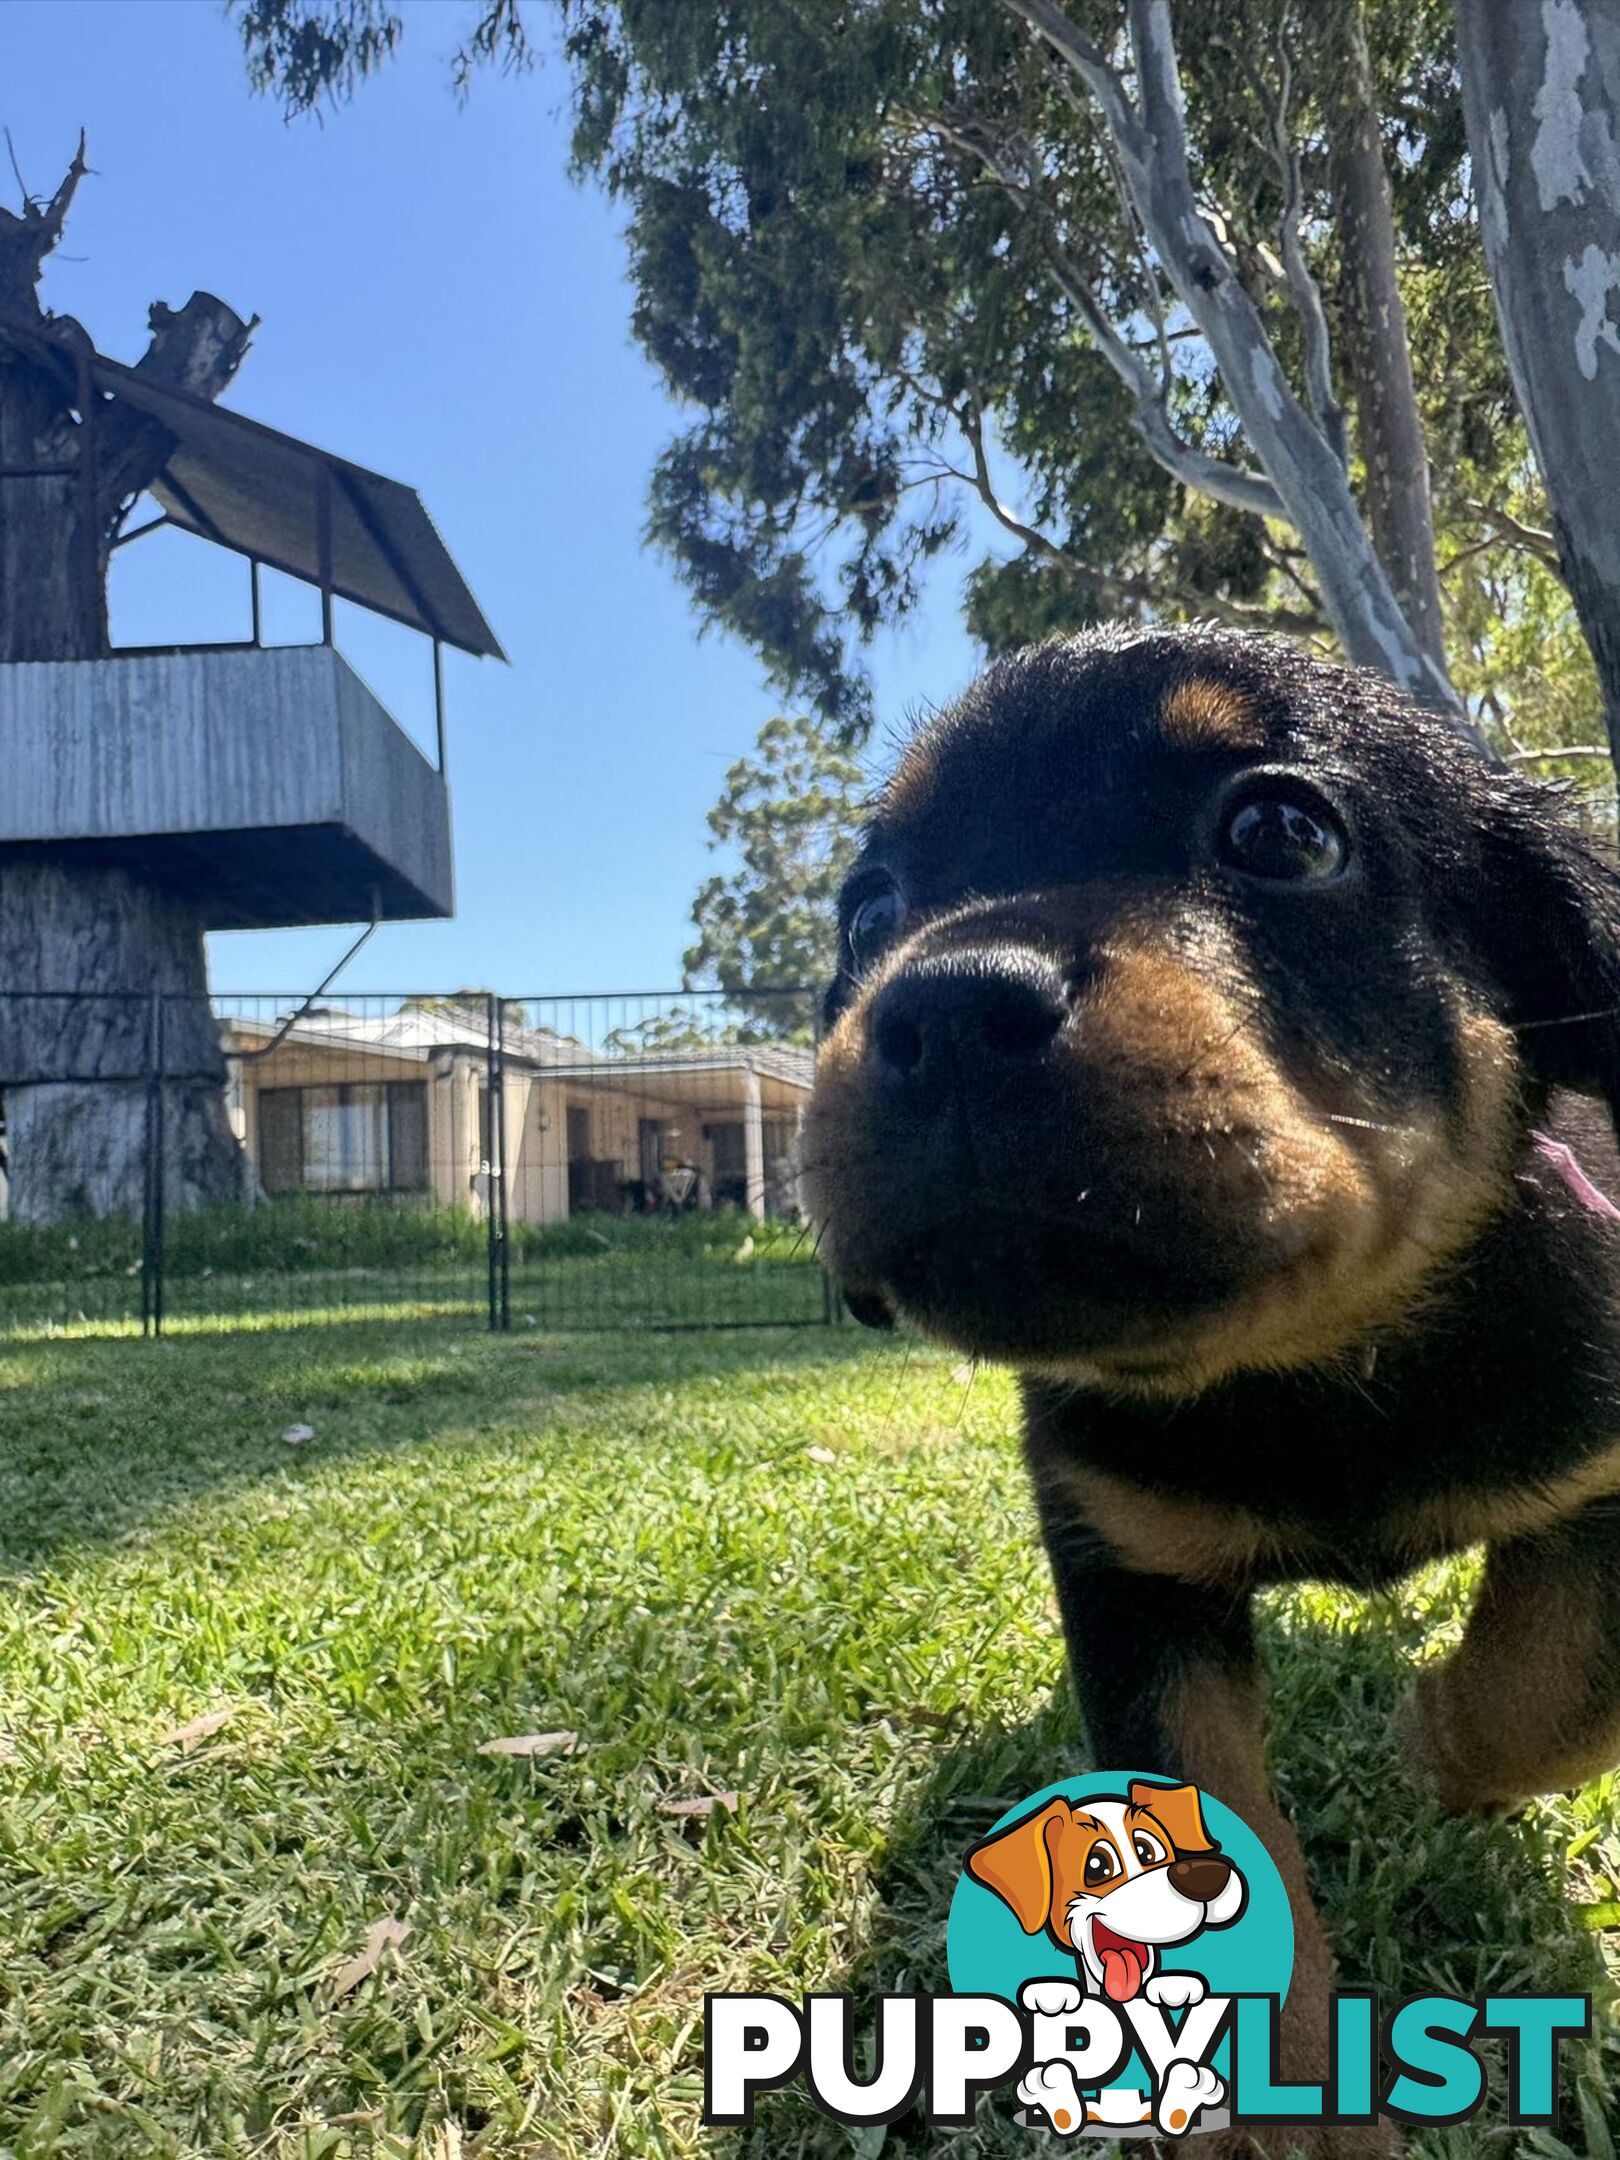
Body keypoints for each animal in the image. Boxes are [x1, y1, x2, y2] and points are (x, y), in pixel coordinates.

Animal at [807, 626, 1620, 2142]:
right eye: (867, 906)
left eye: (1282, 833)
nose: (943, 1006)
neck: (1303, 1369)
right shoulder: (1126, 1566)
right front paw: (1287, 2123)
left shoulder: (1603, 1473)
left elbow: (1557, 1686)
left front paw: (1439, 1742)